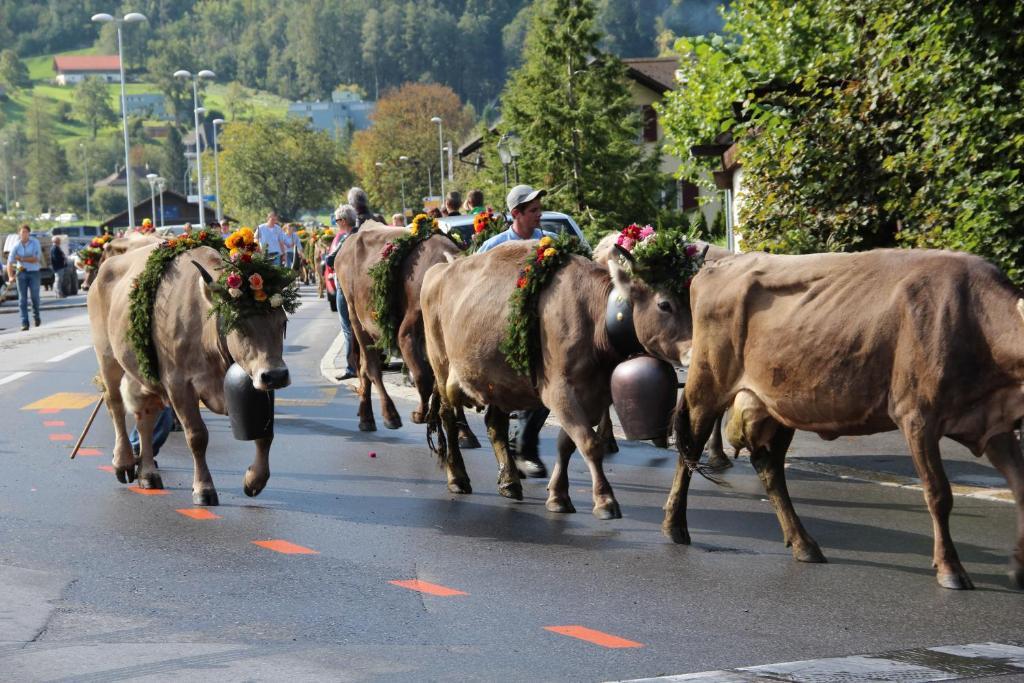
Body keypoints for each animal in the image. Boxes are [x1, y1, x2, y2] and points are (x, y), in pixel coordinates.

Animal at [88, 242, 290, 505]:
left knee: (144, 418)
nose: (276, 375)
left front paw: (254, 481)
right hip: (107, 357)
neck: (207, 328)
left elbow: (265, 435)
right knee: (115, 405)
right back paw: (123, 463)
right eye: (239, 324)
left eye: (283, 322)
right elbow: (197, 436)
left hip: (144, 374)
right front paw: (204, 489)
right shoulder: (178, 385)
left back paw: (148, 474)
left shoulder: (257, 383)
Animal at [335, 223, 479, 448]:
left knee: (363, 368)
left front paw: (465, 432)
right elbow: (423, 378)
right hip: (355, 317)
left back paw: (366, 417)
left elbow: (447, 385)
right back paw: (389, 415)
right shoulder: (406, 335)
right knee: (372, 368)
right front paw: (421, 415)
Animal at [421, 242, 696, 516]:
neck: (594, 318)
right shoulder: (559, 390)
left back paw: (510, 481)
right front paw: (605, 500)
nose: (694, 351)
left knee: (494, 424)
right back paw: (458, 477)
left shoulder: (593, 395)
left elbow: (567, 444)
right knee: (447, 417)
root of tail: (440, 269)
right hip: (440, 363)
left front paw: (558, 496)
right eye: (664, 304)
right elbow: (589, 443)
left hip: (500, 380)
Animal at [659, 248, 1024, 589]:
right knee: (690, 449)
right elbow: (938, 493)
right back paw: (675, 527)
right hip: (707, 385)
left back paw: (804, 544)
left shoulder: (993, 423)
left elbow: (1019, 486)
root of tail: (721, 264)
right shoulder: (917, 416)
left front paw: (1018, 567)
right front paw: (950, 568)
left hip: (781, 405)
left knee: (769, 468)